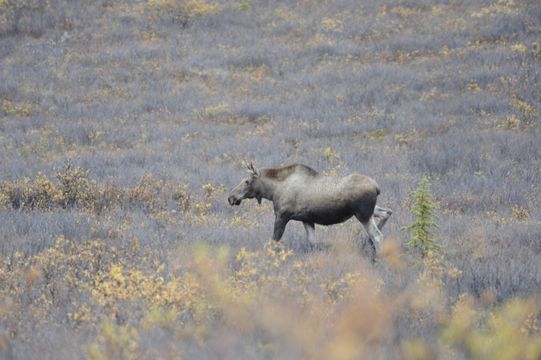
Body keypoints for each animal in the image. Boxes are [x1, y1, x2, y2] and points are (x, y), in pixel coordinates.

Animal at [229, 162, 392, 258]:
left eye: (247, 181)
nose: (231, 197)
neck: (272, 191)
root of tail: (377, 188)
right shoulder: (307, 220)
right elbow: (312, 242)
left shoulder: (282, 216)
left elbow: (273, 241)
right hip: (368, 212)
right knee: (387, 212)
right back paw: (369, 244)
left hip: (362, 214)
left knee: (378, 236)